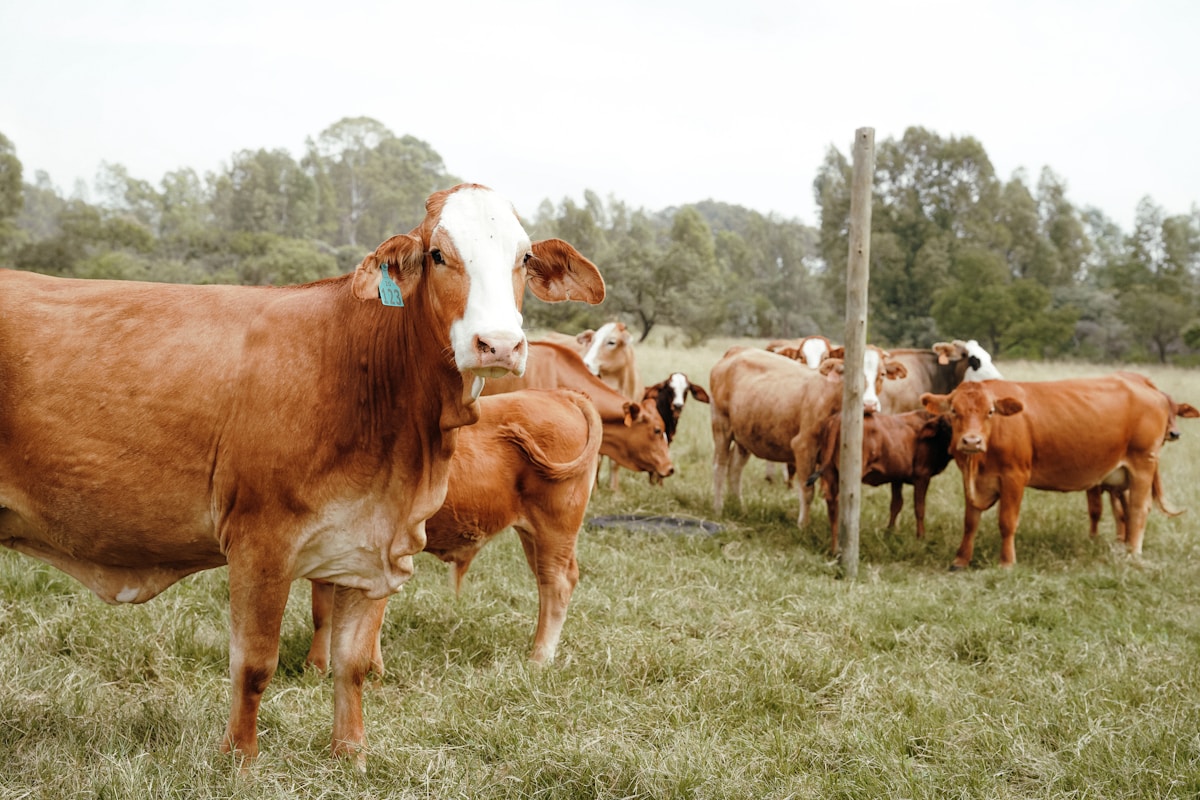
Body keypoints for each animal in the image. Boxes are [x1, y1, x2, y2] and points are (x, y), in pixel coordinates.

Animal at [307, 388, 603, 672]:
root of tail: (560, 394)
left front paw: (370, 671)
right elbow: (323, 612)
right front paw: (317, 667)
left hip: (555, 527)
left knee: (557, 583)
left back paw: (539, 659)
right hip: (533, 534)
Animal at [710, 345, 907, 530]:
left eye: (882, 374)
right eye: (851, 374)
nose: (869, 405)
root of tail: (738, 350)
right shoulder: (804, 446)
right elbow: (807, 491)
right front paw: (803, 526)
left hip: (745, 434)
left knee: (735, 468)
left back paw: (739, 507)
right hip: (721, 425)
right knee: (720, 466)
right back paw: (718, 509)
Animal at [808, 411, 954, 553]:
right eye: (945, 427)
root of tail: (837, 417)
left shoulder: (897, 477)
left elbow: (896, 505)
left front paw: (889, 533)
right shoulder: (922, 476)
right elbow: (919, 509)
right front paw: (921, 538)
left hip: (830, 472)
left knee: (831, 502)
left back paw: (834, 548)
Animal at [921, 374, 1172, 570]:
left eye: (990, 412)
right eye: (954, 411)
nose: (972, 441)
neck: (977, 464)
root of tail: (1142, 383)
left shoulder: (1014, 477)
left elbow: (1007, 522)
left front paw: (1007, 562)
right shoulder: (972, 481)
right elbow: (970, 522)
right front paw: (961, 560)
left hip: (1143, 463)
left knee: (1139, 509)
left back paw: (1132, 553)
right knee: (1128, 510)